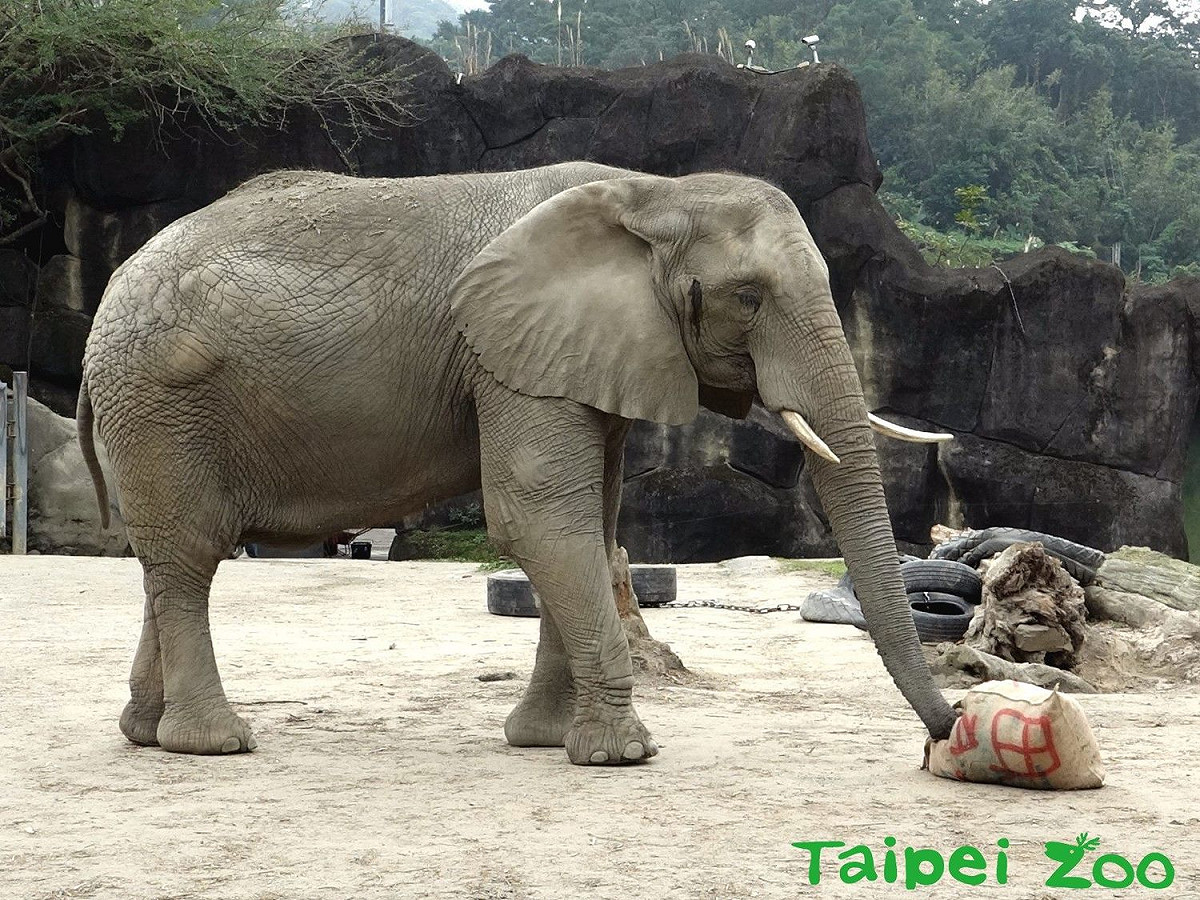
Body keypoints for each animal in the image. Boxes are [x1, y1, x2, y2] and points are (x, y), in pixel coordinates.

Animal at [77, 161, 958, 765]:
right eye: (748, 297)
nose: (946, 732)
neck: (652, 193)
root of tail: (113, 289)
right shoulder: (506, 356)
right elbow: (538, 519)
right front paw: (622, 754)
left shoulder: (575, 359)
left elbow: (591, 527)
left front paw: (542, 740)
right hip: (161, 398)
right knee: (192, 553)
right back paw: (213, 743)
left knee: (169, 559)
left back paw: (144, 732)